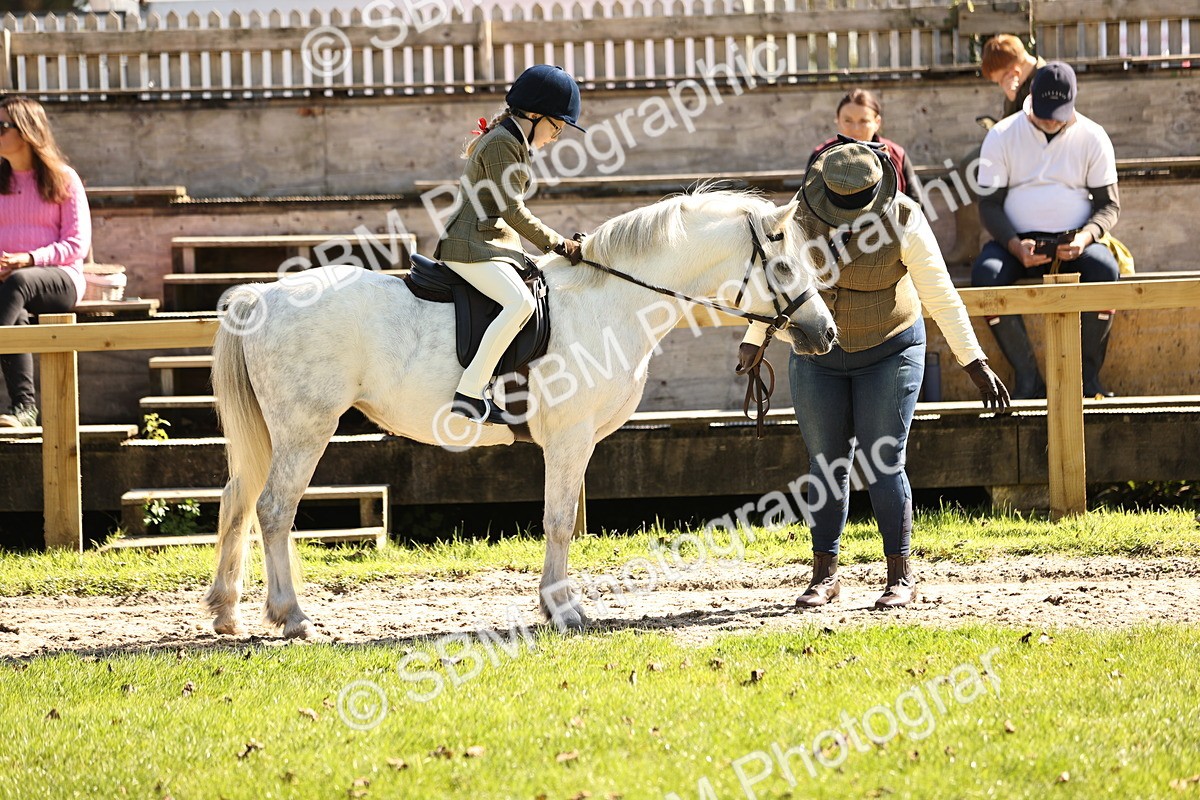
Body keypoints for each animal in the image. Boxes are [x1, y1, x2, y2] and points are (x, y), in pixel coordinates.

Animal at [201, 188, 837, 638]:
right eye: (785, 267)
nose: (825, 334)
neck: (611, 301)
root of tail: (261, 295)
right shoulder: (569, 439)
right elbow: (558, 520)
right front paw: (563, 609)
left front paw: (559, 605)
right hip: (305, 429)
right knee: (274, 509)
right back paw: (292, 617)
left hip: (274, 433)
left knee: (238, 501)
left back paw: (228, 614)